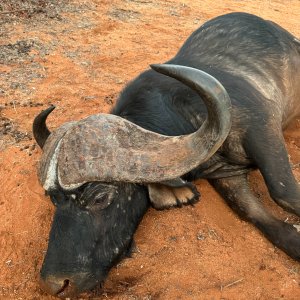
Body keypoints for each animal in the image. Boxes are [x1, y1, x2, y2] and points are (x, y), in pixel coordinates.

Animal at [32, 12, 300, 298]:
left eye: (100, 197)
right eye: (53, 199)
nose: (56, 283)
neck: (186, 113)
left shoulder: (262, 127)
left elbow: (284, 193)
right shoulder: (227, 175)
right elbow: (258, 217)